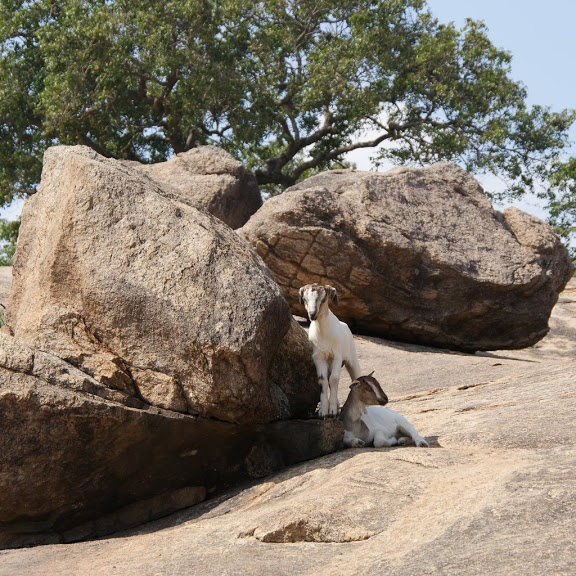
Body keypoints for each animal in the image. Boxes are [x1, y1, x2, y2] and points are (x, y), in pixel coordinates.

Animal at [300, 284, 362, 418]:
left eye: (323, 299)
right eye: (305, 299)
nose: (312, 314)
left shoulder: (337, 357)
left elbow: (334, 379)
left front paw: (332, 410)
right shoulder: (319, 357)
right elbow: (323, 380)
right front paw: (324, 412)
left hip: (352, 358)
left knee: (357, 376)